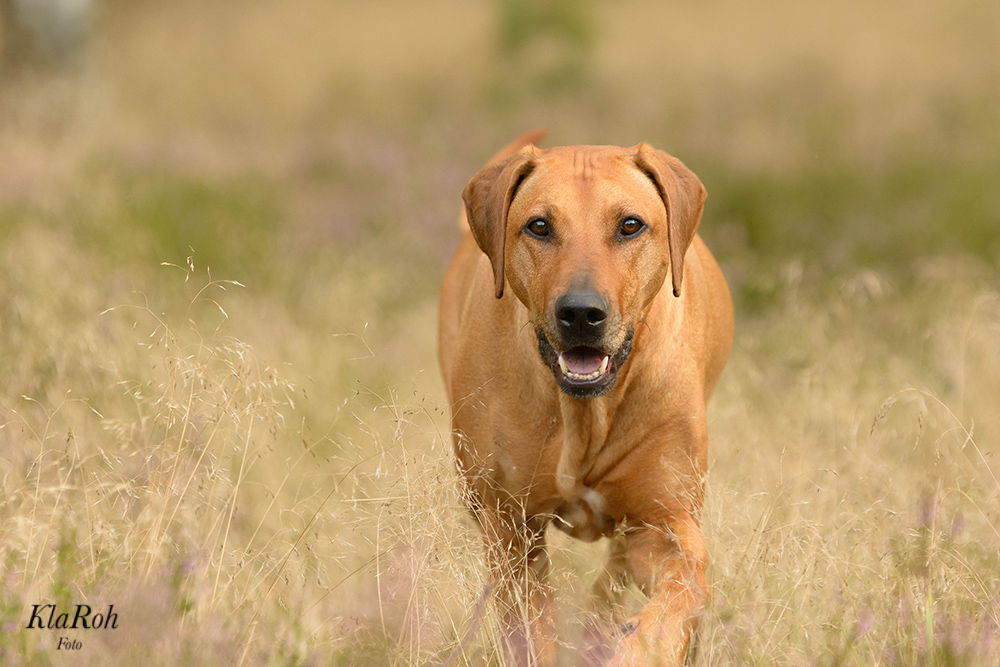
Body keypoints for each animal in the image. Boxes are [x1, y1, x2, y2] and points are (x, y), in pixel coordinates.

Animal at [440, 132, 736, 667]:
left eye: (630, 225)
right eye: (539, 226)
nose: (581, 312)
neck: (584, 414)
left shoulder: (665, 523)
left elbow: (681, 593)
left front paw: (637, 646)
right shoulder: (511, 530)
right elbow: (529, 627)